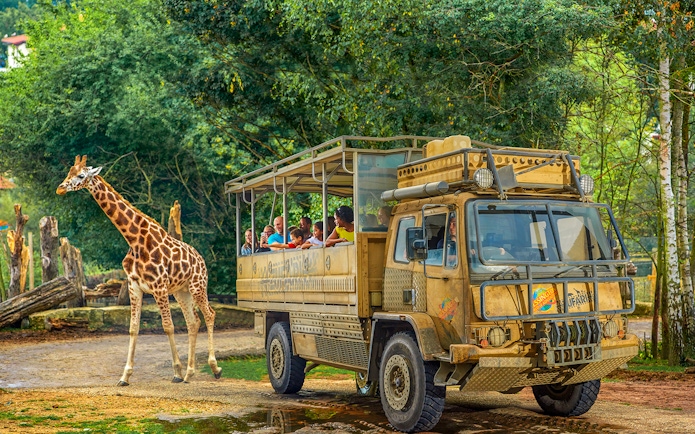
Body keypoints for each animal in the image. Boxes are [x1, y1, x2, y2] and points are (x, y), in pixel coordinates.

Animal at [56, 156, 222, 385]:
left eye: (81, 175)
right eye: (69, 173)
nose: (60, 188)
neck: (134, 240)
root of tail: (201, 259)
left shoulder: (159, 286)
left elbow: (168, 326)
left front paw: (176, 373)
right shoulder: (135, 286)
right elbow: (133, 327)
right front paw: (125, 376)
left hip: (197, 286)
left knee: (210, 315)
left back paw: (214, 368)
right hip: (181, 291)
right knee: (193, 322)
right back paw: (190, 373)